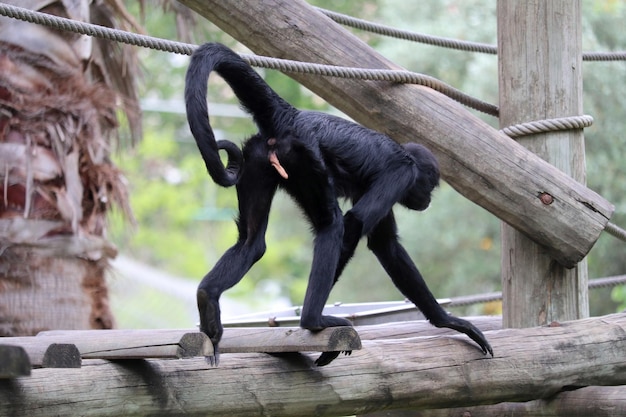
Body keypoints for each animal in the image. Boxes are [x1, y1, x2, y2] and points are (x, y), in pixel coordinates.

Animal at [183, 44, 490, 366]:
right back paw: (313, 320)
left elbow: (385, 244)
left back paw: (208, 295)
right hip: (304, 157)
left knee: (252, 242)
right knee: (332, 223)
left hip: (259, 158)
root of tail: (292, 116)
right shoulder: (401, 174)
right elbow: (354, 223)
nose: (428, 199)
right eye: (429, 186)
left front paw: (446, 321)